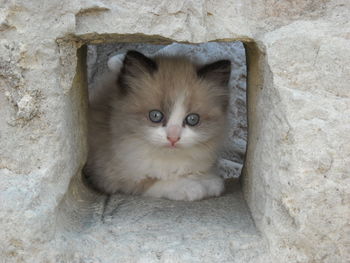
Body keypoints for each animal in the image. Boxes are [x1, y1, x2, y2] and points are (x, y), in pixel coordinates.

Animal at [84, 50, 232, 201]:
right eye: (155, 116)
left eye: (192, 119)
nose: (173, 138)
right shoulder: (111, 177)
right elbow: (154, 182)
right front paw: (190, 187)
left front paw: (209, 180)